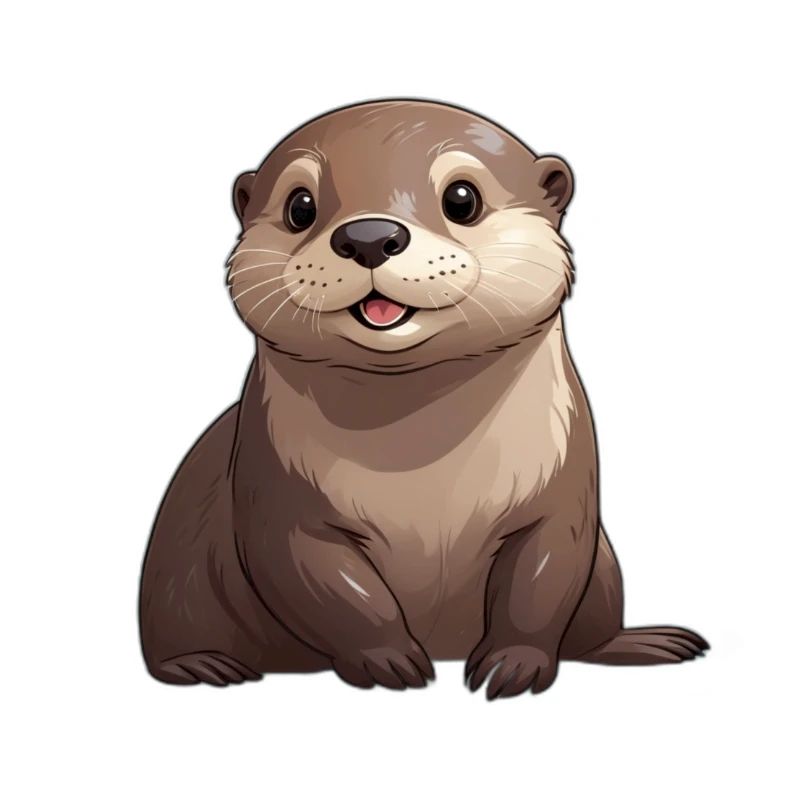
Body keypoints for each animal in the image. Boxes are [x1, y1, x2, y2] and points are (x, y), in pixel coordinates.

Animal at [139, 99, 708, 699]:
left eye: (462, 198)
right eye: (300, 207)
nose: (369, 235)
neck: (423, 475)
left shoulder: (561, 491)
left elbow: (542, 580)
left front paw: (514, 664)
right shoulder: (276, 495)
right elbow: (329, 586)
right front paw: (387, 660)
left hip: (604, 574)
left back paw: (646, 643)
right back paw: (204, 666)